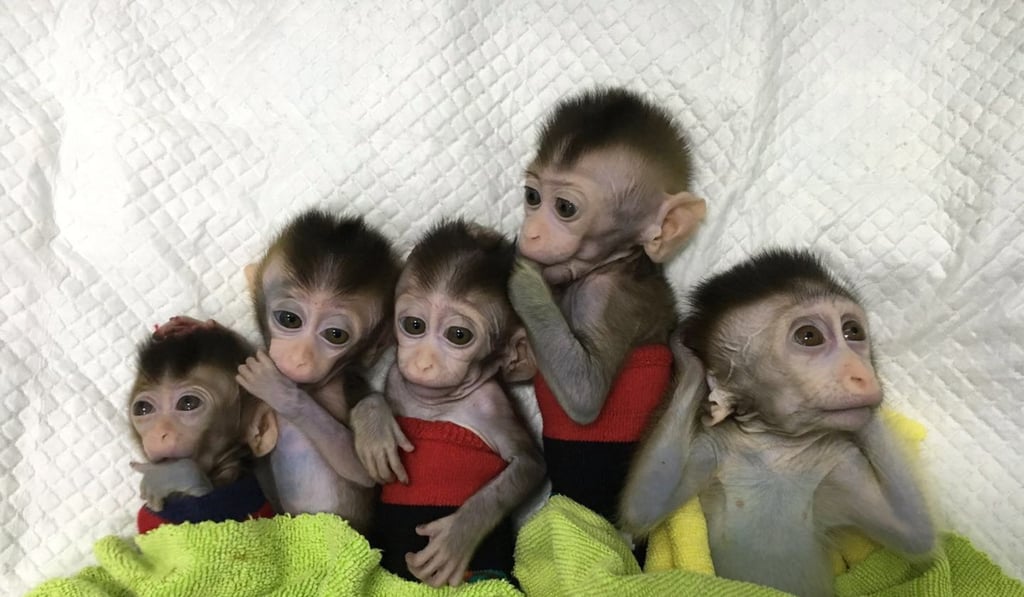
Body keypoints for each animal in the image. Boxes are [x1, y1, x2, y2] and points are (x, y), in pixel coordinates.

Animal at [349, 219, 545, 587]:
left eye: (458, 335)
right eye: (414, 325)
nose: (423, 362)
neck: (438, 405)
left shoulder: (493, 406)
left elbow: (529, 464)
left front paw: (459, 535)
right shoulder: (397, 377)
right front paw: (375, 427)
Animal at [507, 87, 707, 523]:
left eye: (565, 208)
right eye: (532, 197)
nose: (530, 234)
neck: (615, 261)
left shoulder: (605, 297)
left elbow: (585, 393)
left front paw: (523, 276)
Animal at [618, 249, 936, 597]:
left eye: (853, 332)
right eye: (809, 336)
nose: (862, 374)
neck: (776, 447)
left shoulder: (841, 461)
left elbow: (913, 531)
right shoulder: (711, 447)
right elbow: (645, 505)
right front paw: (686, 357)